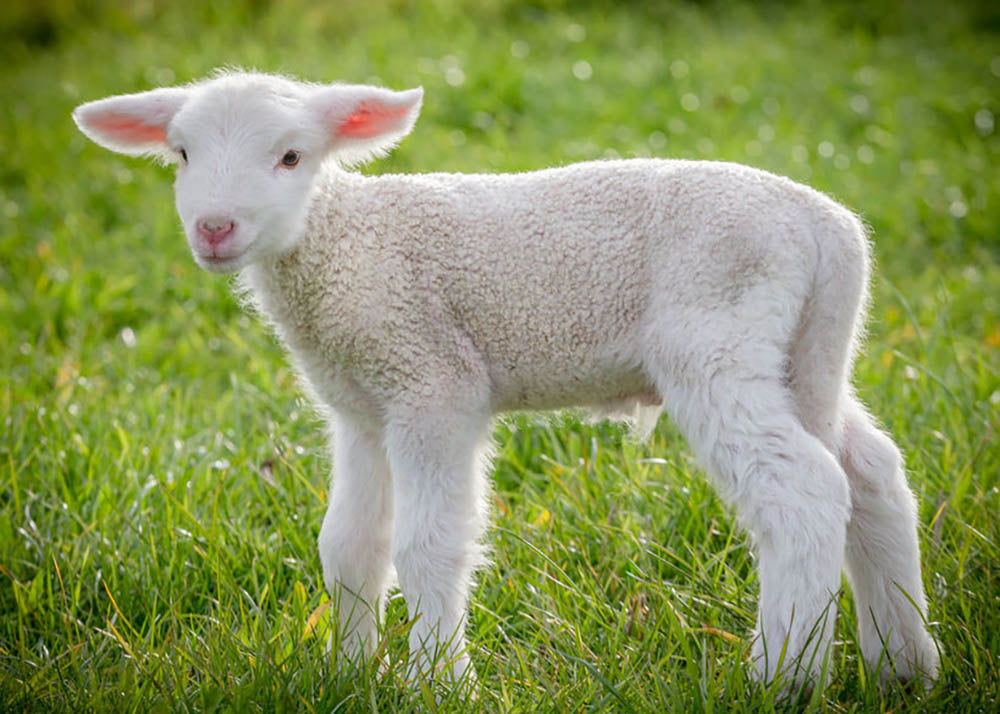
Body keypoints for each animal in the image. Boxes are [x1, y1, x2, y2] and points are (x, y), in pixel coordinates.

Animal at [73, 69, 940, 691]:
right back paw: (902, 663)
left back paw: (782, 676)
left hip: (719, 338)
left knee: (803, 490)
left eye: (290, 157)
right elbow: (350, 544)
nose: (214, 228)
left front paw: (437, 681)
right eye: (181, 155)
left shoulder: (432, 383)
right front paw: (347, 673)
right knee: (871, 474)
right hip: (804, 353)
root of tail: (827, 229)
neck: (346, 244)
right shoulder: (360, 407)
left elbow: (428, 544)